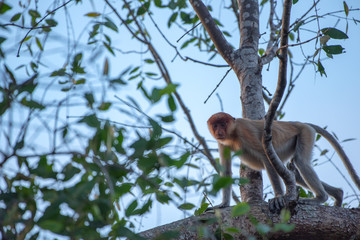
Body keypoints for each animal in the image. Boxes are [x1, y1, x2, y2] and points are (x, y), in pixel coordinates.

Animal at [208, 111, 360, 211]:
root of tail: (300, 123)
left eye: (223, 123)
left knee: (301, 163)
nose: (219, 132)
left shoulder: (245, 131)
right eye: (215, 125)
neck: (233, 133)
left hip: (305, 133)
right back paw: (338, 195)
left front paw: (278, 198)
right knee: (296, 174)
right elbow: (226, 171)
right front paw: (223, 204)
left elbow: (265, 157)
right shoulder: (222, 143)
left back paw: (320, 198)